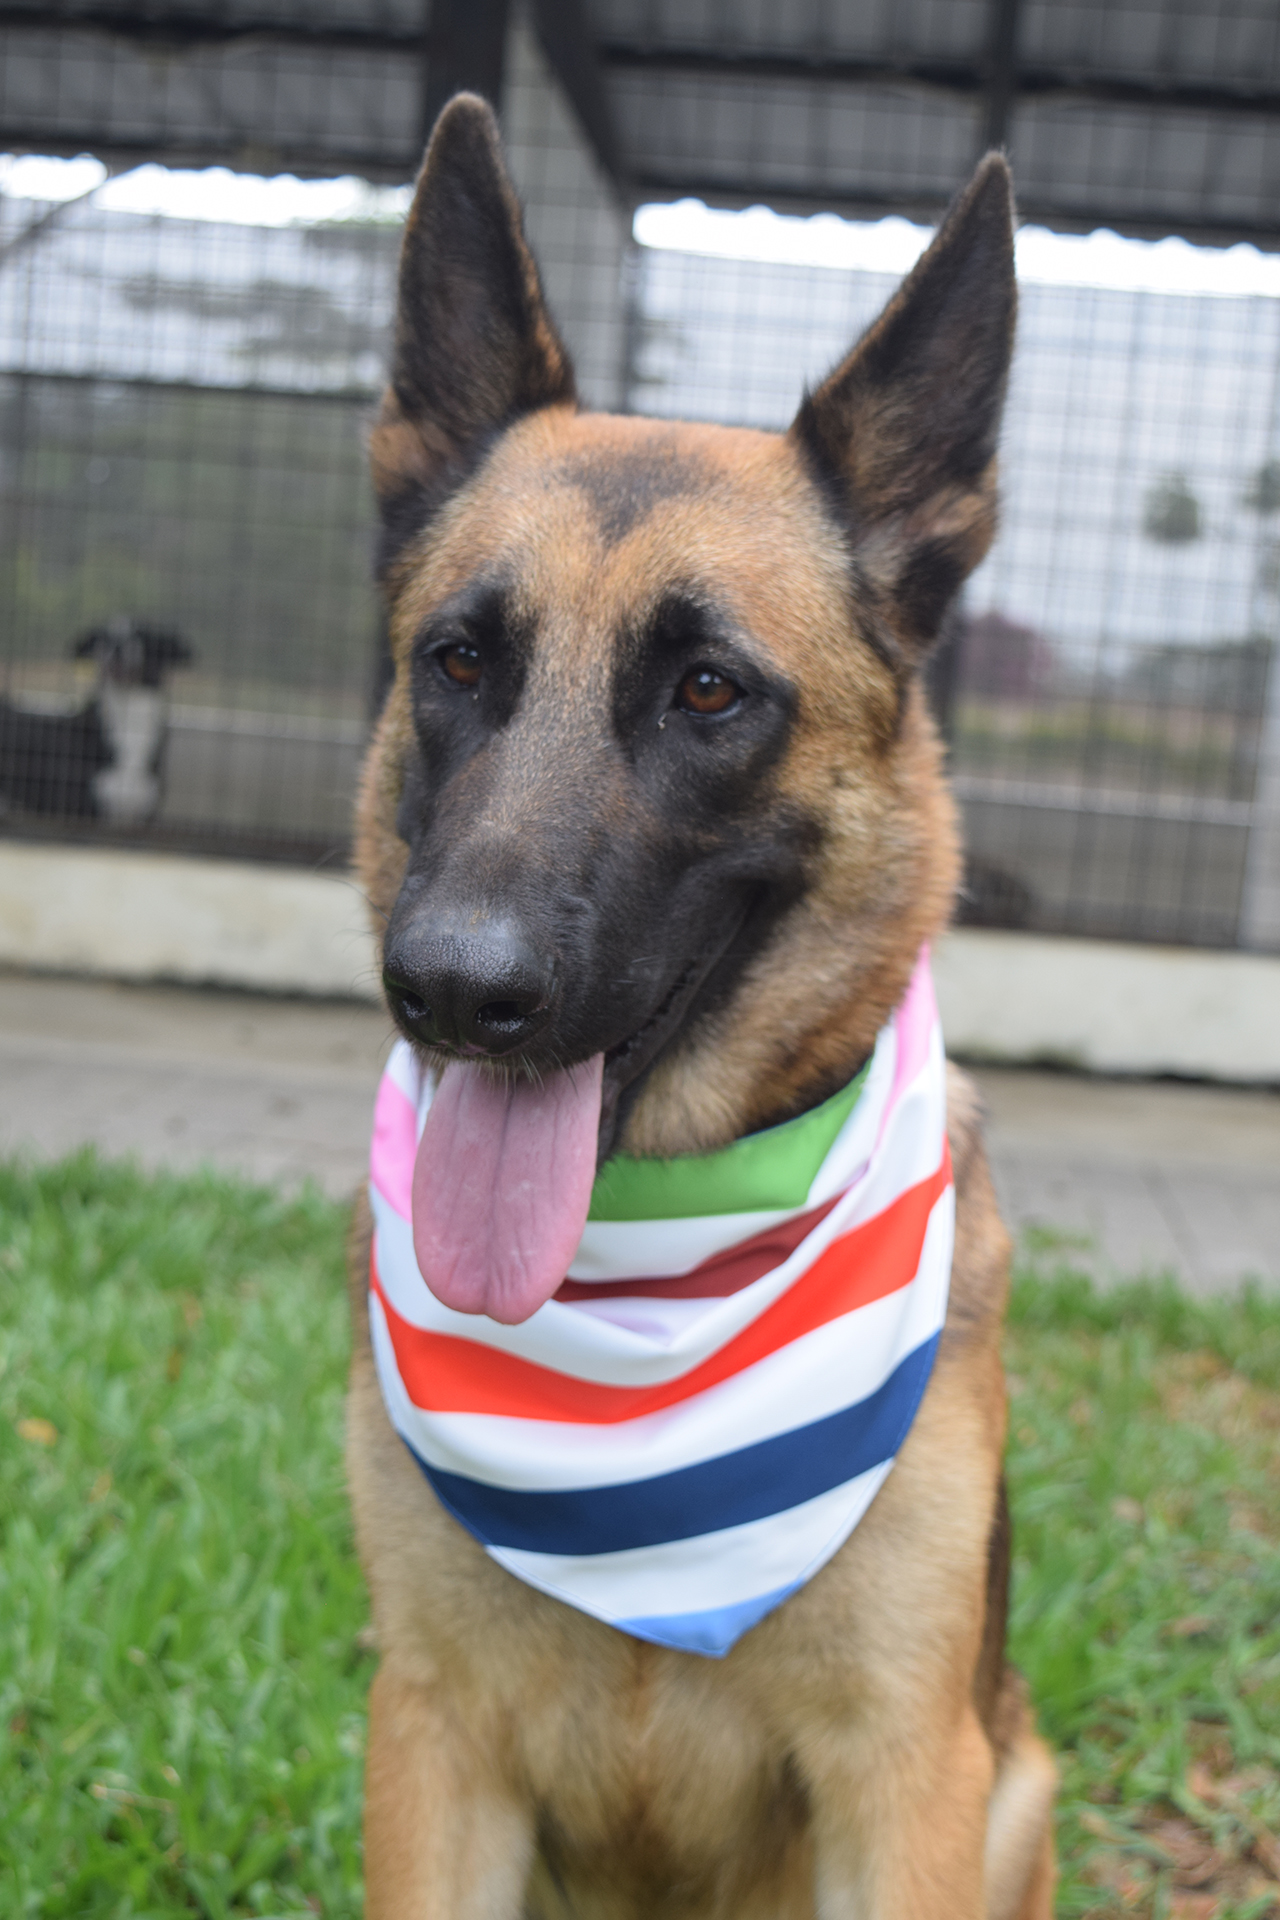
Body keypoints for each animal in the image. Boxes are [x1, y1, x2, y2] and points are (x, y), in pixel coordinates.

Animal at [346, 94, 1056, 1919]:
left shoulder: (907, 1778)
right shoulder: (430, 1743)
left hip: (1015, 1785)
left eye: (710, 692)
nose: (452, 988)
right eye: (458, 662)